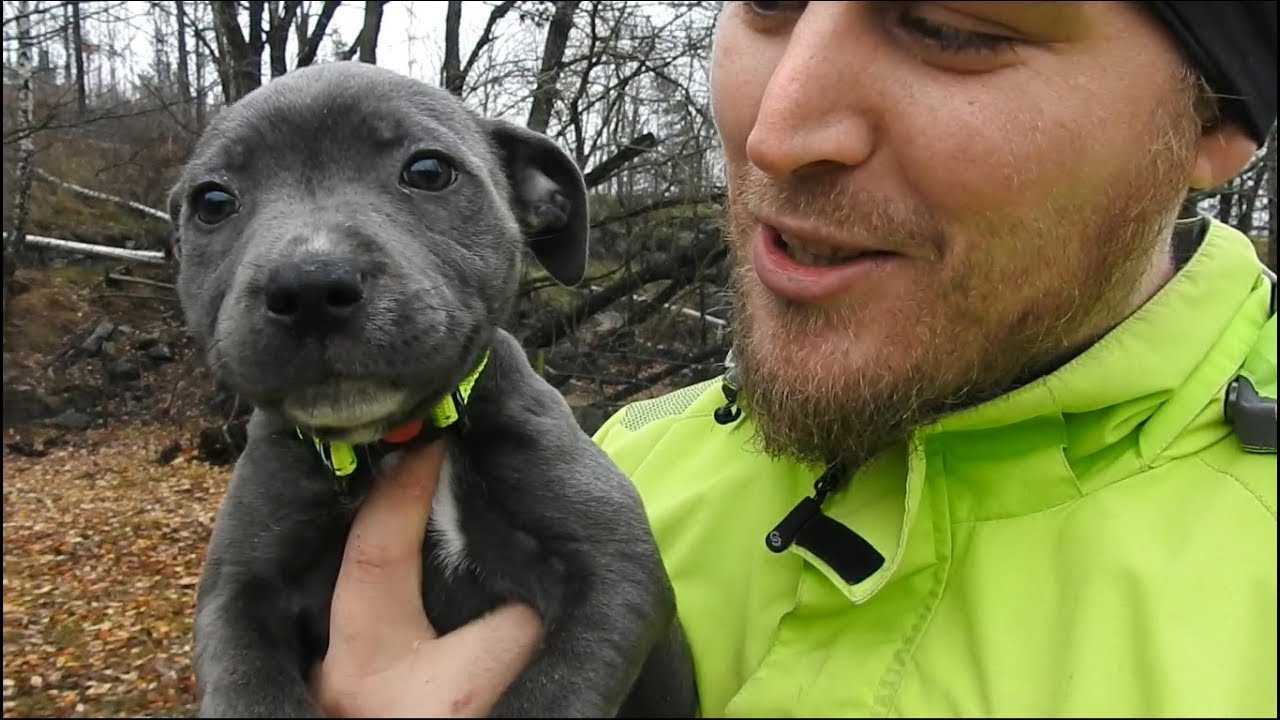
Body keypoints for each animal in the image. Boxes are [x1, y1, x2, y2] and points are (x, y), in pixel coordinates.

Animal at [170, 58, 701, 712]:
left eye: (428, 171)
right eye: (213, 202)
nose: (310, 286)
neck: (400, 436)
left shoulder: (614, 566)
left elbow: (550, 696)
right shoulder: (236, 595)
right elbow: (250, 694)